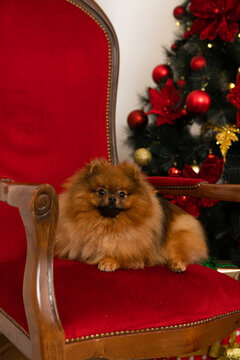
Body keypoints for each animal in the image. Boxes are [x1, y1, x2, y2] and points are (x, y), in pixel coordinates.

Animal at [54, 159, 208, 272]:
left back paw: (177, 265)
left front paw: (109, 261)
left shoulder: (132, 247)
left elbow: (121, 253)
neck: (108, 223)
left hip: (177, 237)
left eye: (122, 194)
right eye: (101, 192)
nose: (112, 198)